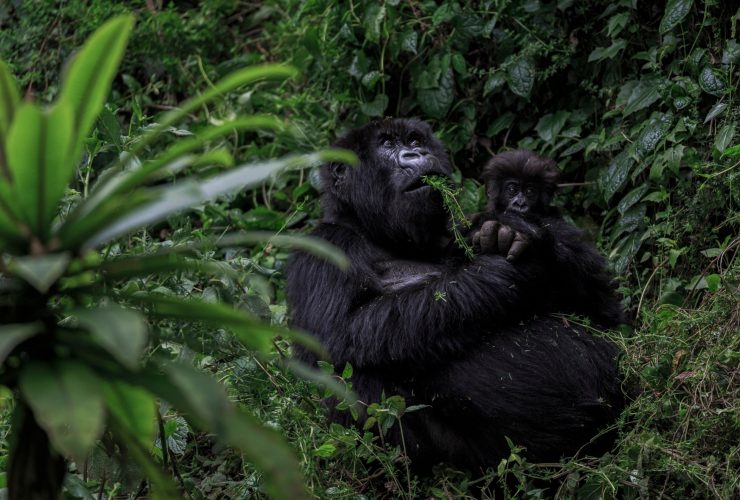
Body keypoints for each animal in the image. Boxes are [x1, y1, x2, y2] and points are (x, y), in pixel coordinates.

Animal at [286, 119, 620, 470]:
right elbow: (337, 335)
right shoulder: (322, 247)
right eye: (387, 144)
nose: (417, 154)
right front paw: (506, 270)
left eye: (415, 140)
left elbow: (607, 311)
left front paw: (526, 239)